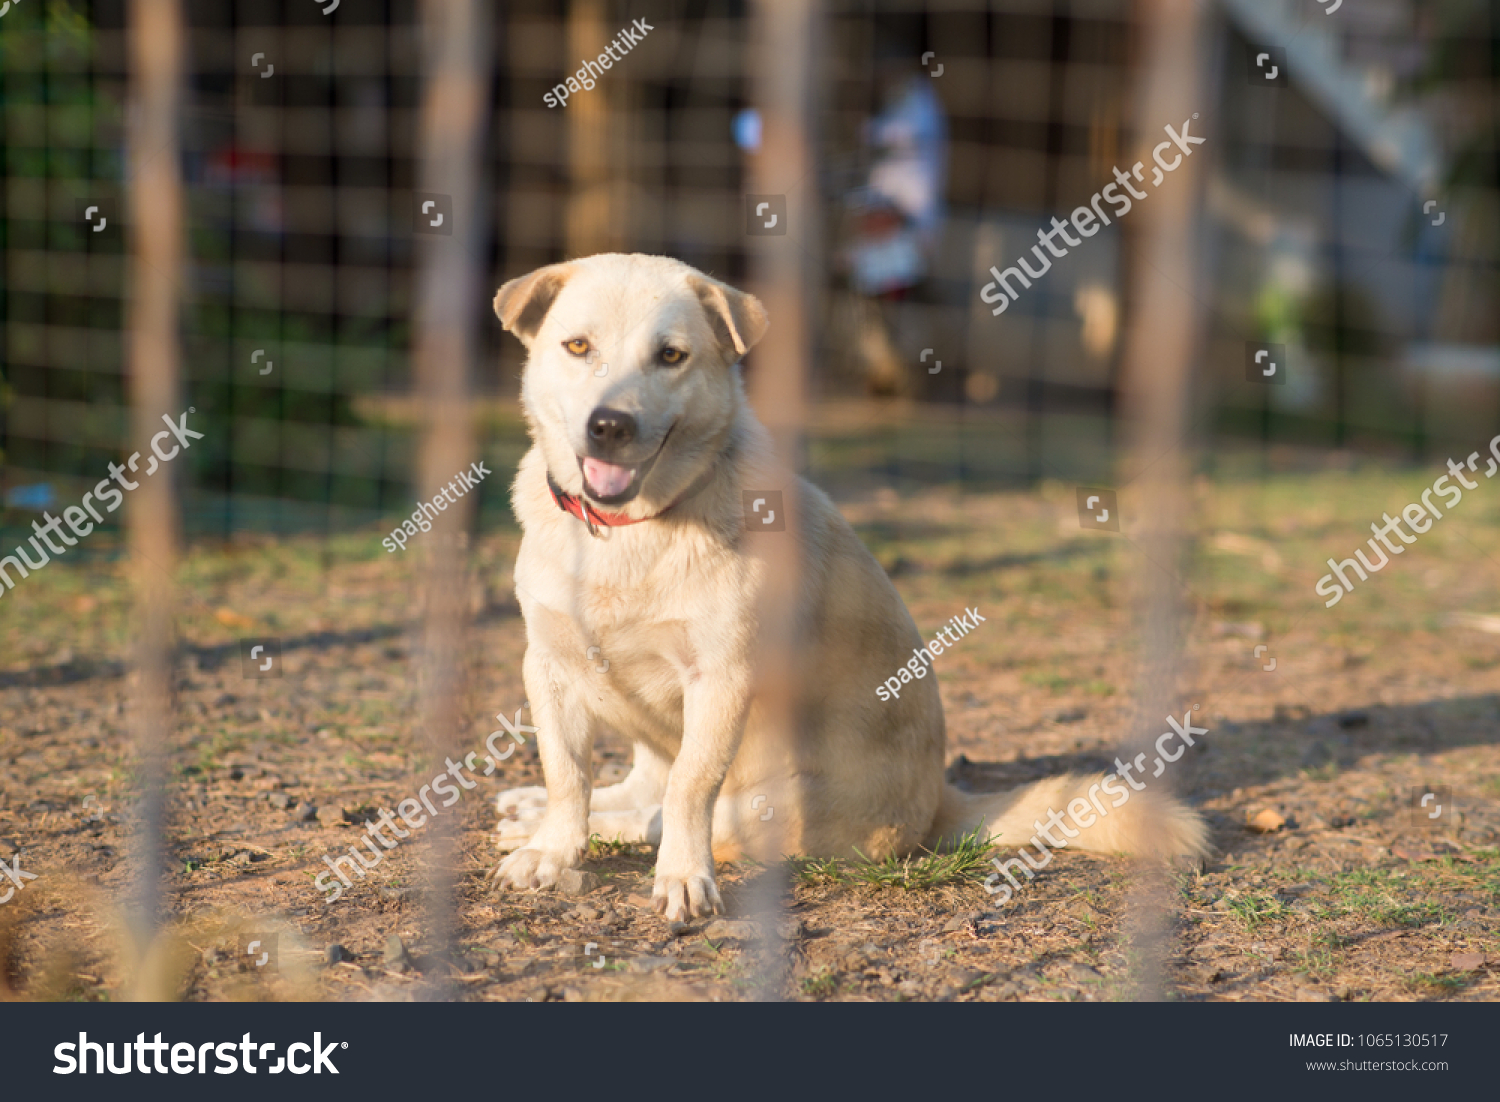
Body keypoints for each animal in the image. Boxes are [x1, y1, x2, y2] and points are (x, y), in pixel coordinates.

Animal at [492, 254, 1206, 917]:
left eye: (671, 356)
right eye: (577, 346)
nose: (610, 425)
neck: (630, 530)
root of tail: (939, 804)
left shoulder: (719, 680)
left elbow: (689, 789)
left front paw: (679, 877)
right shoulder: (548, 666)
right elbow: (567, 772)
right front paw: (554, 847)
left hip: (768, 803)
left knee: (667, 809)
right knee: (638, 787)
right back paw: (538, 812)